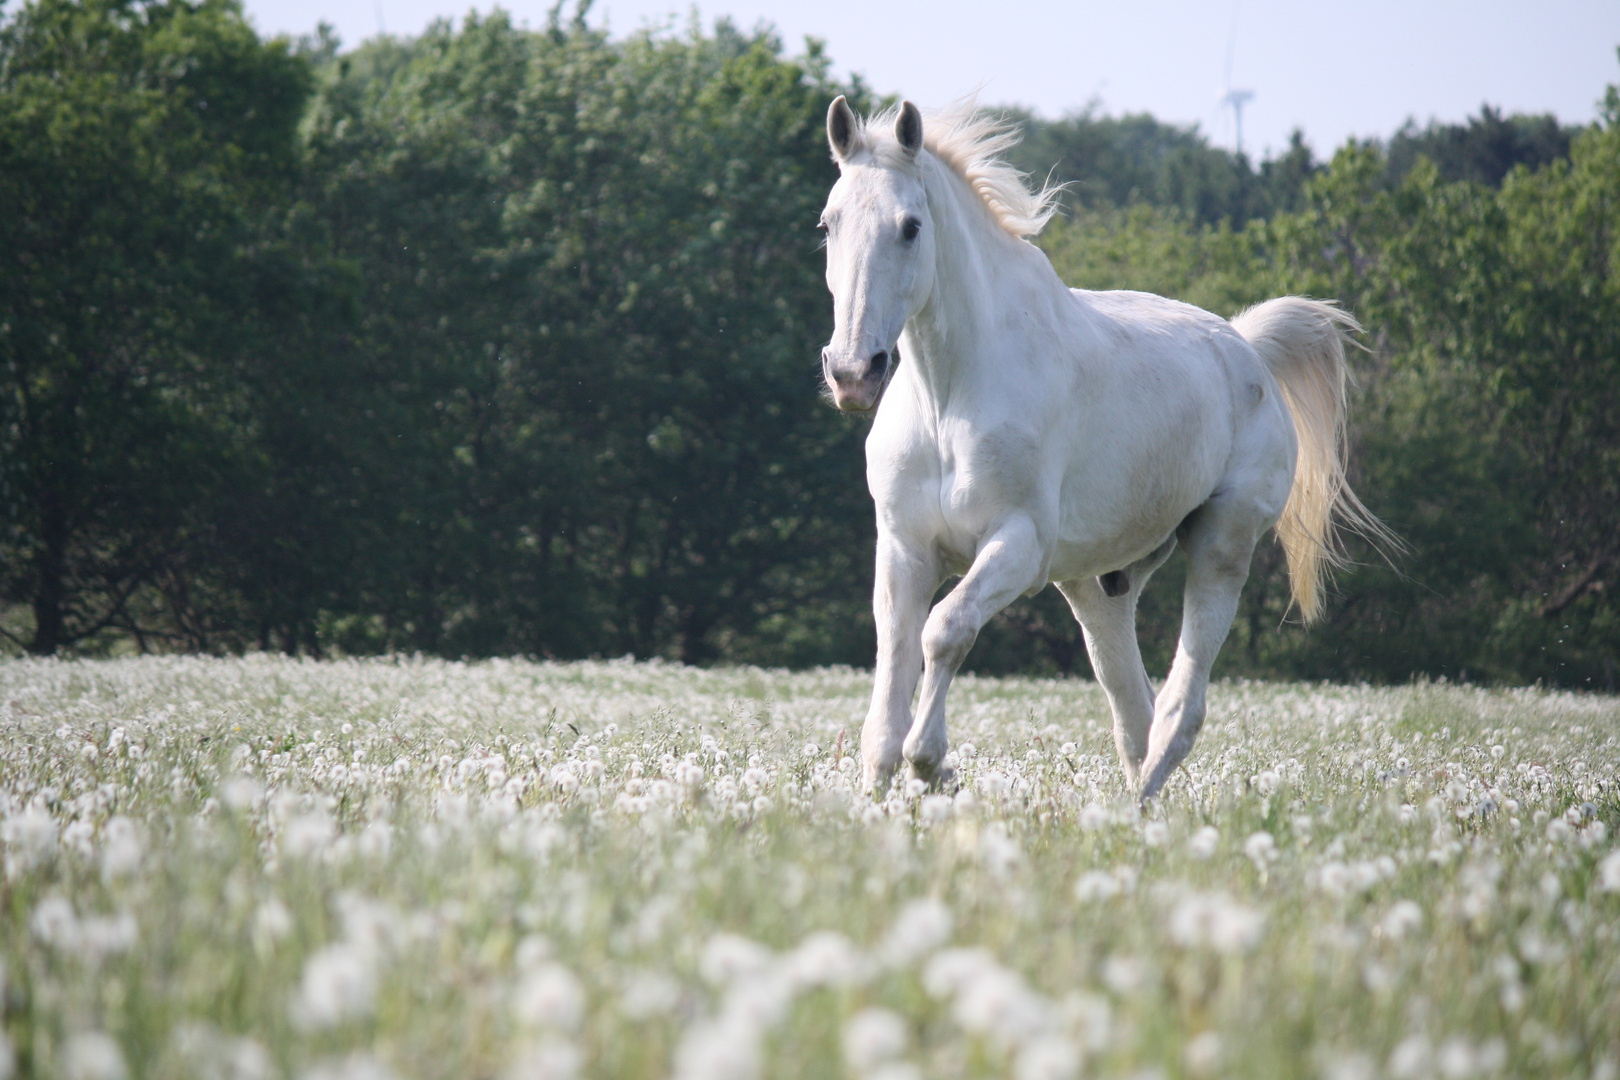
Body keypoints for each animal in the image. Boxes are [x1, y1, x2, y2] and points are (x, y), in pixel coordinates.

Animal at [822, 95, 1393, 803]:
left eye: (909, 227)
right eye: (828, 224)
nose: (853, 373)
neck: (948, 398)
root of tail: (1246, 347)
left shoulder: (1018, 545)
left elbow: (945, 631)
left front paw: (933, 763)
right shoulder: (905, 547)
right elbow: (890, 679)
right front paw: (881, 794)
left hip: (1221, 546)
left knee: (1178, 708)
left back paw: (1141, 803)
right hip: (1099, 589)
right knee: (1133, 710)